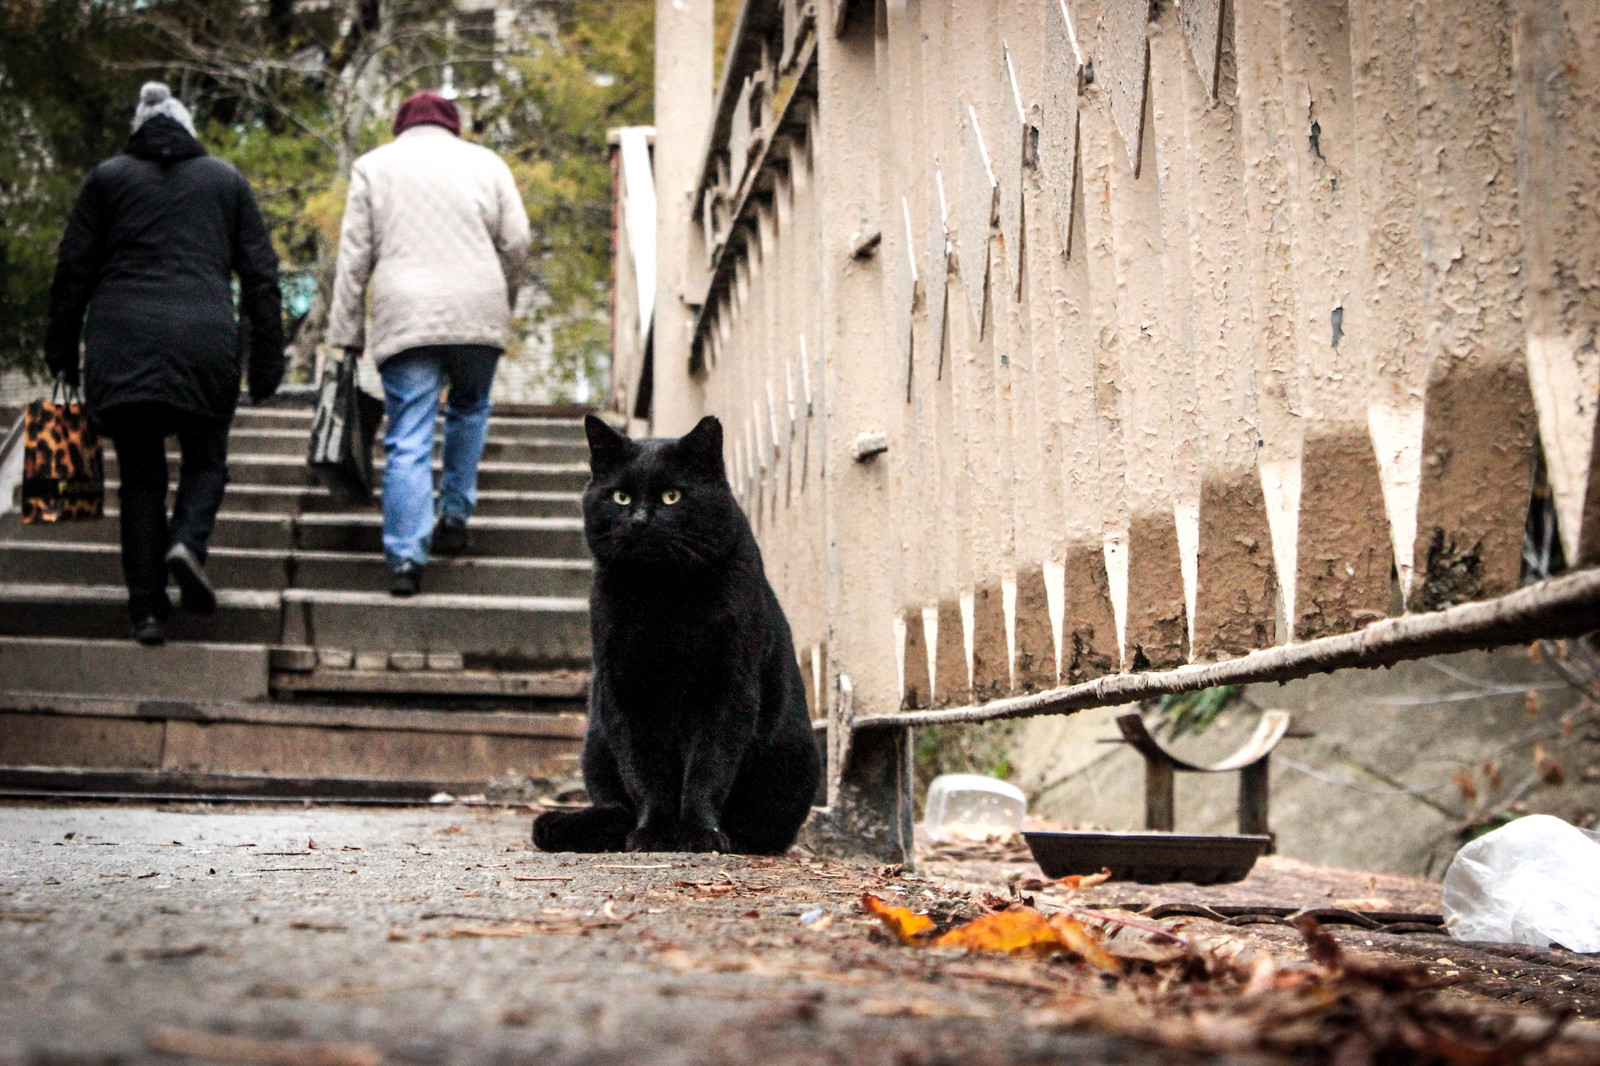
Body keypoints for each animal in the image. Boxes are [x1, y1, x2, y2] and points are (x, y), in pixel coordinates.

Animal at [534, 409, 819, 851]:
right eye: (620, 497)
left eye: (672, 496)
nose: (639, 520)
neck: (663, 595)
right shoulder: (624, 688)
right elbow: (646, 772)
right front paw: (654, 832)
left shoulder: (729, 686)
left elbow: (708, 767)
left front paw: (700, 834)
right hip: (595, 742)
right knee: (617, 806)